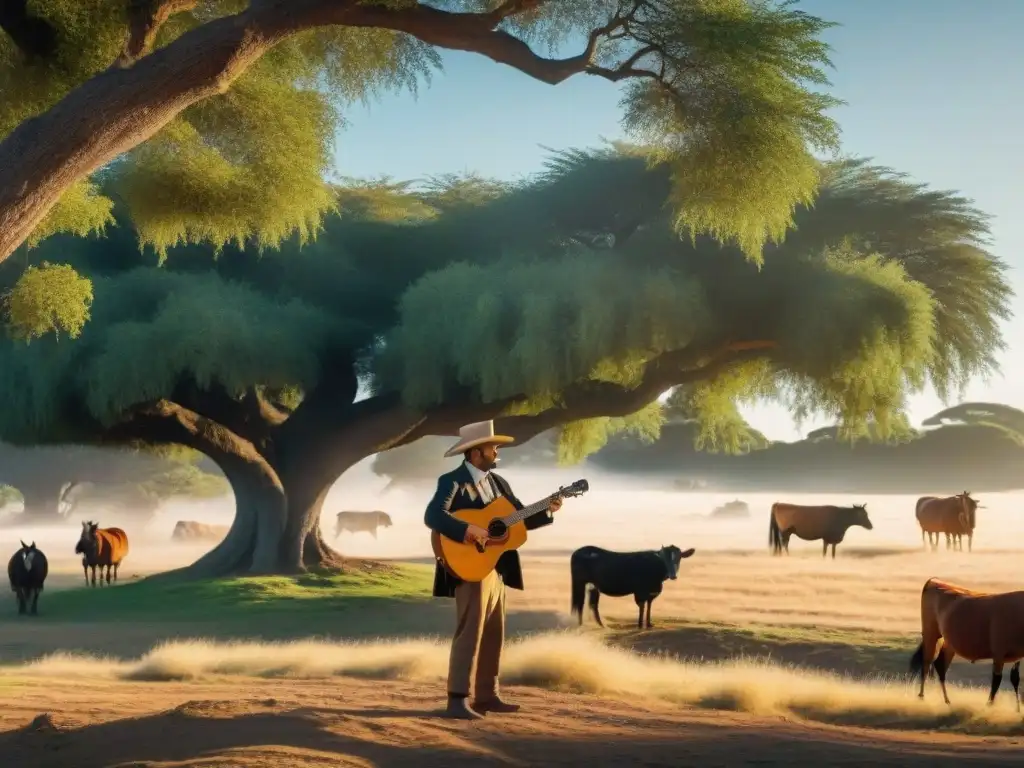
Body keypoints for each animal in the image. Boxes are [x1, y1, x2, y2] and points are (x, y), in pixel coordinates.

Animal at [913, 577, 1024, 708]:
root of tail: (933, 580)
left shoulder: (1018, 657)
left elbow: (1015, 679)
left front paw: (1018, 709)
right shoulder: (998, 655)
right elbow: (996, 681)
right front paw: (989, 706)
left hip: (948, 643)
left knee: (940, 665)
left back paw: (947, 701)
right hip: (931, 636)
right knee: (926, 663)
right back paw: (922, 697)